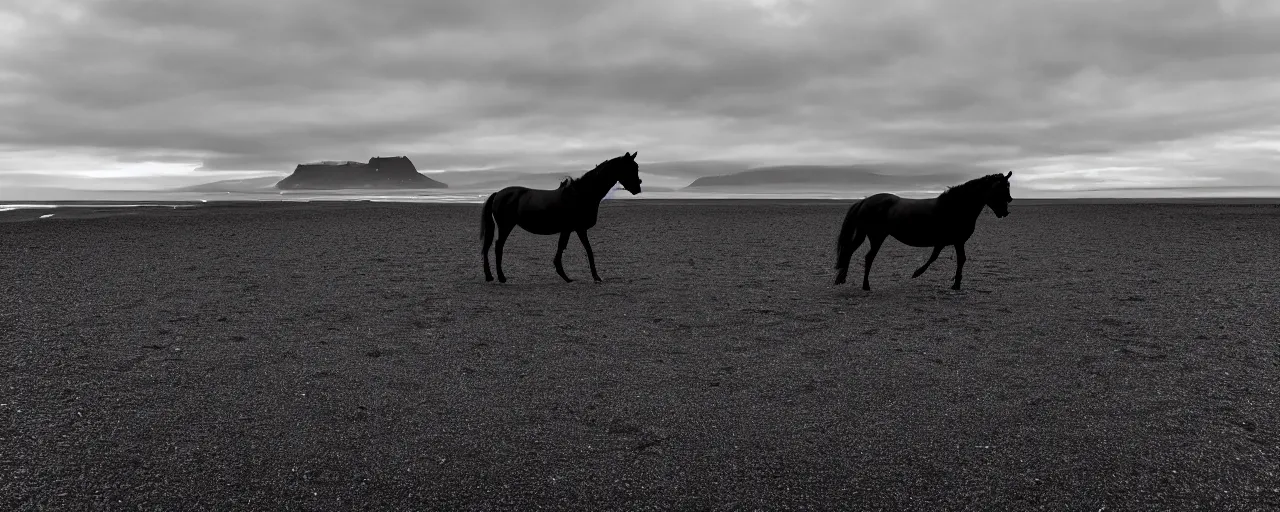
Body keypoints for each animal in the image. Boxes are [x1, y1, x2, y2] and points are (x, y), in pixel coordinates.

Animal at [478, 151, 645, 284]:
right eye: (630, 168)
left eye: (636, 167)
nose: (638, 188)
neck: (581, 195)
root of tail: (498, 194)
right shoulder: (579, 229)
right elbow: (587, 250)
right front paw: (594, 277)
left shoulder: (570, 230)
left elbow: (564, 248)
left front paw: (567, 276)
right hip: (506, 226)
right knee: (498, 246)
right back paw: (501, 277)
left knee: (489, 247)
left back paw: (489, 276)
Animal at [834, 171, 1013, 290]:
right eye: (1000, 189)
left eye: (1008, 188)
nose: (1005, 212)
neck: (955, 207)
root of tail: (864, 201)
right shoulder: (951, 241)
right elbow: (940, 258)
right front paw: (918, 273)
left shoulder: (953, 241)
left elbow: (955, 259)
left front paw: (956, 284)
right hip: (877, 237)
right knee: (868, 257)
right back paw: (865, 285)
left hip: (863, 234)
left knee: (849, 251)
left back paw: (841, 278)